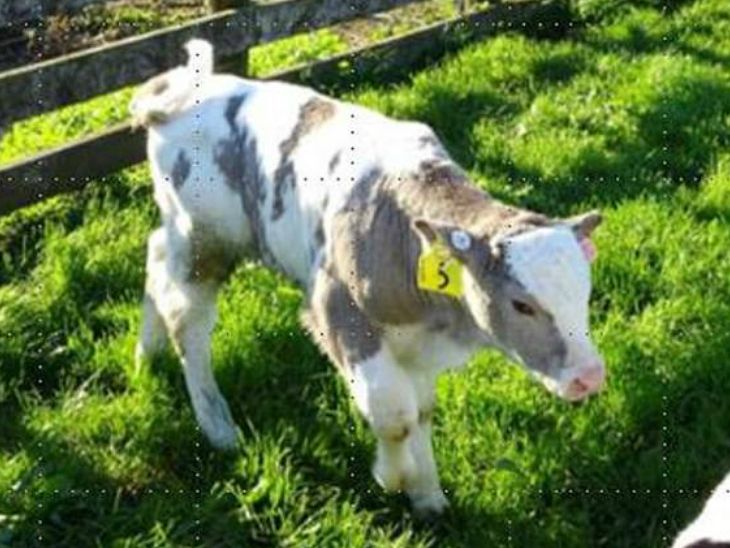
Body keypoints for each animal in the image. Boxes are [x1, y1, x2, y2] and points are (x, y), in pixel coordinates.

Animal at [129, 39, 606, 517]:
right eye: (521, 304)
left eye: (585, 294)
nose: (590, 377)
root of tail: (180, 90)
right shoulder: (336, 312)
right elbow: (393, 414)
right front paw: (394, 476)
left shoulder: (418, 345)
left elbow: (421, 411)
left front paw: (428, 495)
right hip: (204, 239)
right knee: (187, 321)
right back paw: (216, 424)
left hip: (180, 229)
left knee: (155, 256)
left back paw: (146, 353)